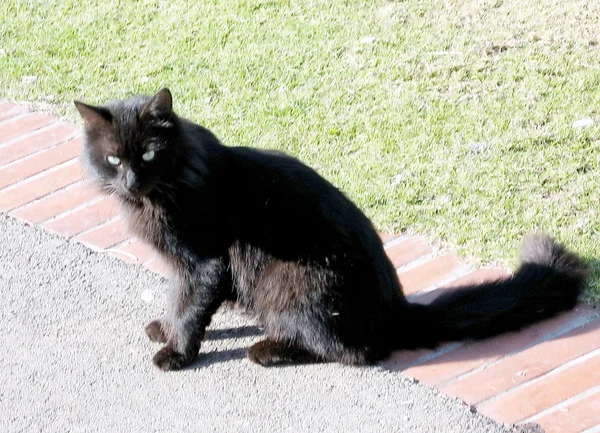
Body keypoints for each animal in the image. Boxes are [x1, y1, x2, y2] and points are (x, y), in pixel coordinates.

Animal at [72, 88, 588, 372]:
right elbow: (177, 300)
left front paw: (176, 352)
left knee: (351, 351)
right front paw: (164, 326)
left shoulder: (203, 262)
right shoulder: (183, 266)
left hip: (294, 284)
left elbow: (190, 306)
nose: (131, 181)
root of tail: (397, 310)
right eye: (114, 159)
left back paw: (267, 350)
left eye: (149, 154)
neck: (167, 188)